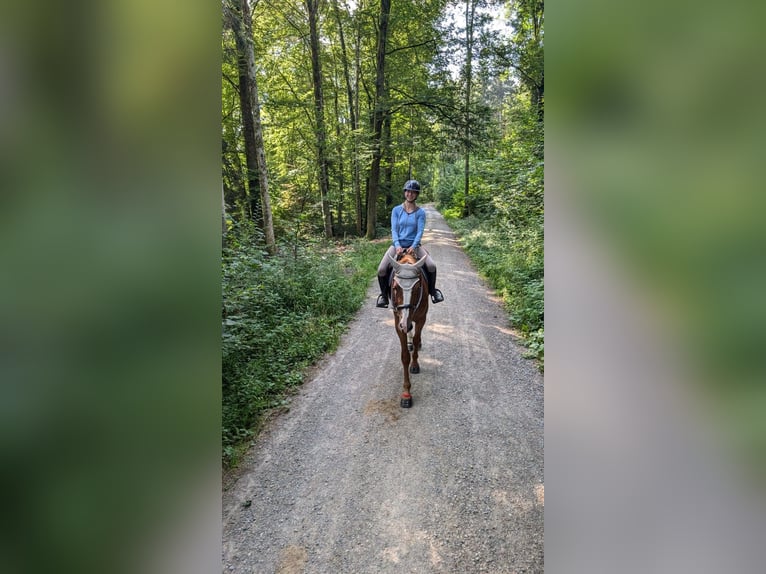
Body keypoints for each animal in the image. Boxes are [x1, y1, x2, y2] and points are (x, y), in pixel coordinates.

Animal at [390, 253, 432, 410]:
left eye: (417, 287)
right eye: (395, 287)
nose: (404, 324)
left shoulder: (421, 319)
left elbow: (416, 337)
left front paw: (414, 365)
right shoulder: (398, 323)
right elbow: (404, 357)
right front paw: (406, 394)